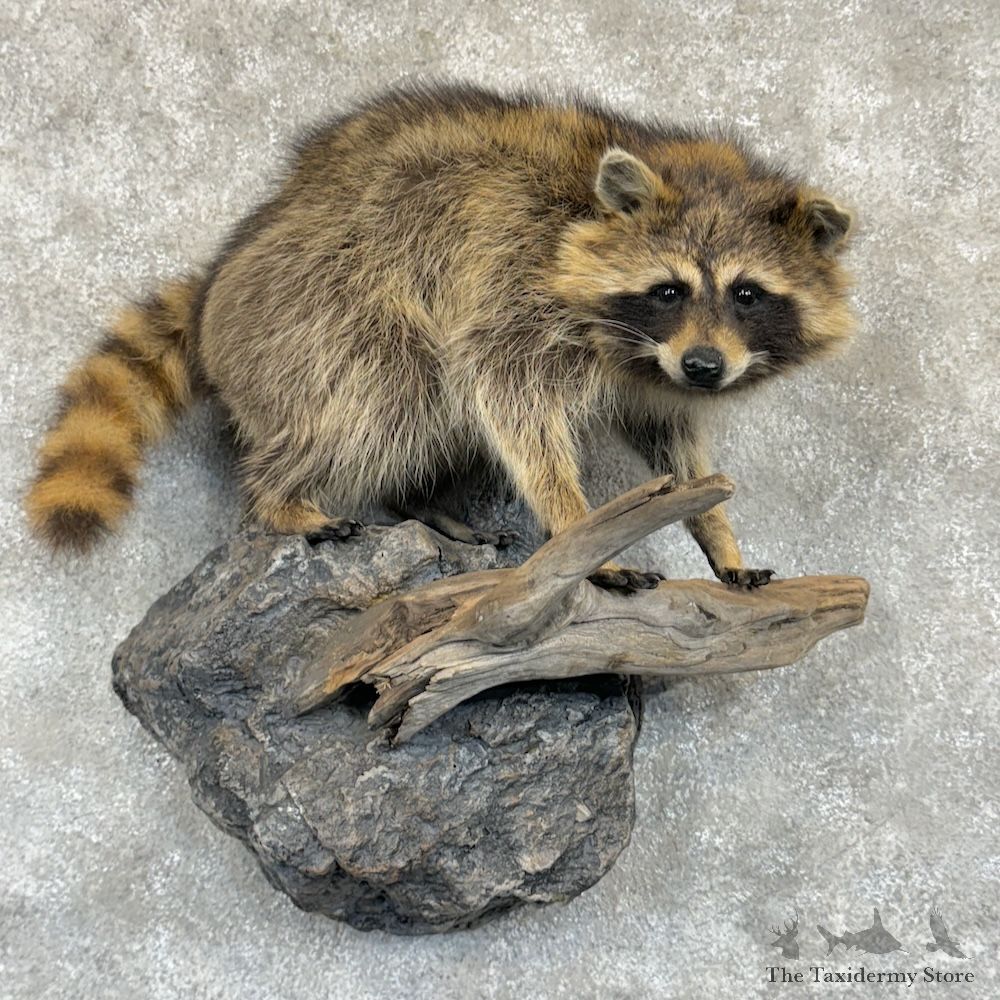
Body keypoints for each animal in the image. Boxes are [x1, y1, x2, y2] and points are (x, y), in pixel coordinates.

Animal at [25, 84, 854, 590]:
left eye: (748, 294)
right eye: (670, 289)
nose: (705, 367)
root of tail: (218, 281)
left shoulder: (655, 370)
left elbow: (672, 443)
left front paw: (717, 531)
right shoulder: (516, 285)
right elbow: (506, 393)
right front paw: (577, 525)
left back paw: (424, 503)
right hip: (317, 310)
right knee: (385, 396)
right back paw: (278, 495)